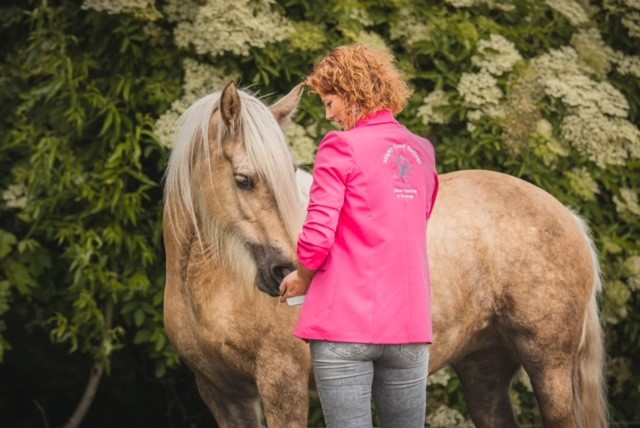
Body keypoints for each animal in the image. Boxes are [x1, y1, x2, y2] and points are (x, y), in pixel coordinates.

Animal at [162, 81, 608, 428]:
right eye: (243, 180)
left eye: (288, 174)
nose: (285, 271)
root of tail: (567, 216)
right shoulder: (222, 393)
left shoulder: (281, 386)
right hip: (484, 370)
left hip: (549, 369)